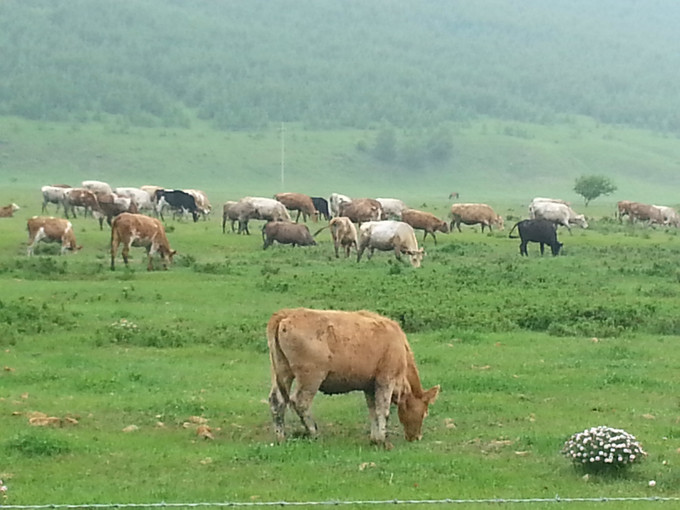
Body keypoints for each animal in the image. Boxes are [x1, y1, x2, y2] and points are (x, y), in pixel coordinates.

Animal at [266, 306, 440, 446]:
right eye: (425, 412)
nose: (416, 437)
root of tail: (286, 314)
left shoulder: (369, 385)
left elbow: (373, 410)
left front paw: (375, 438)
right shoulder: (385, 379)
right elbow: (383, 410)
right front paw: (383, 440)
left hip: (282, 372)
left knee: (277, 401)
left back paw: (280, 436)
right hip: (310, 377)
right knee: (300, 402)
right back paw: (314, 433)